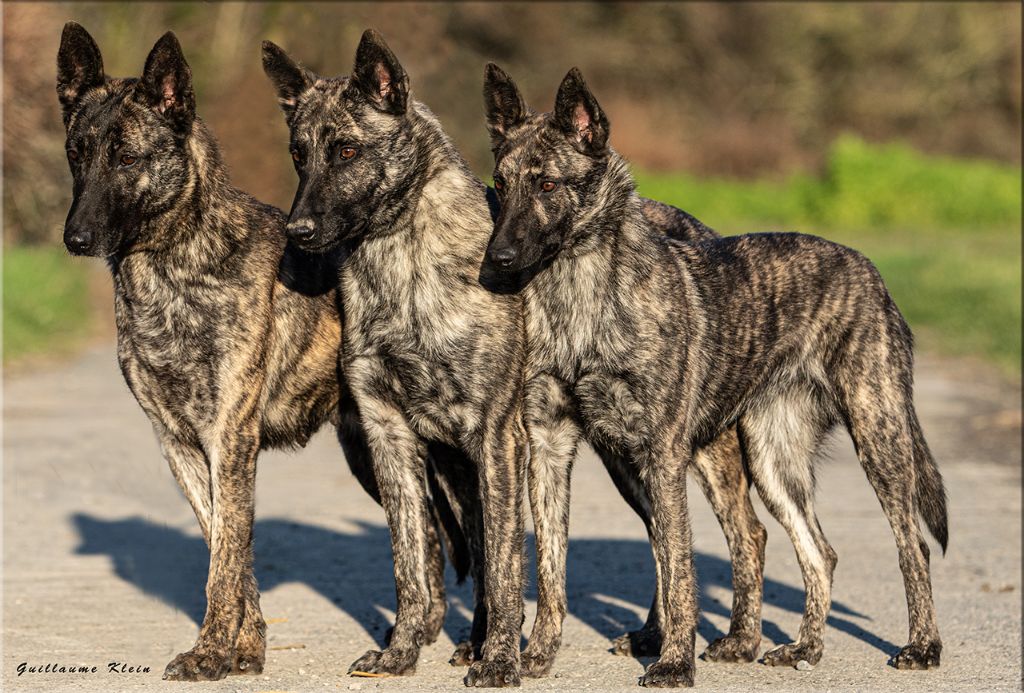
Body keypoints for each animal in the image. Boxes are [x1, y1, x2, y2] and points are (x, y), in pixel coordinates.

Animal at [55, 24, 471, 679]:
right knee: (424, 532)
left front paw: (210, 653)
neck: (174, 263)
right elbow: (226, 545)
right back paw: (417, 632)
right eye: (77, 153)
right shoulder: (180, 444)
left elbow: (224, 559)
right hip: (373, 453)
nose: (76, 238)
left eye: (126, 158)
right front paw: (245, 648)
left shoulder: (229, 436)